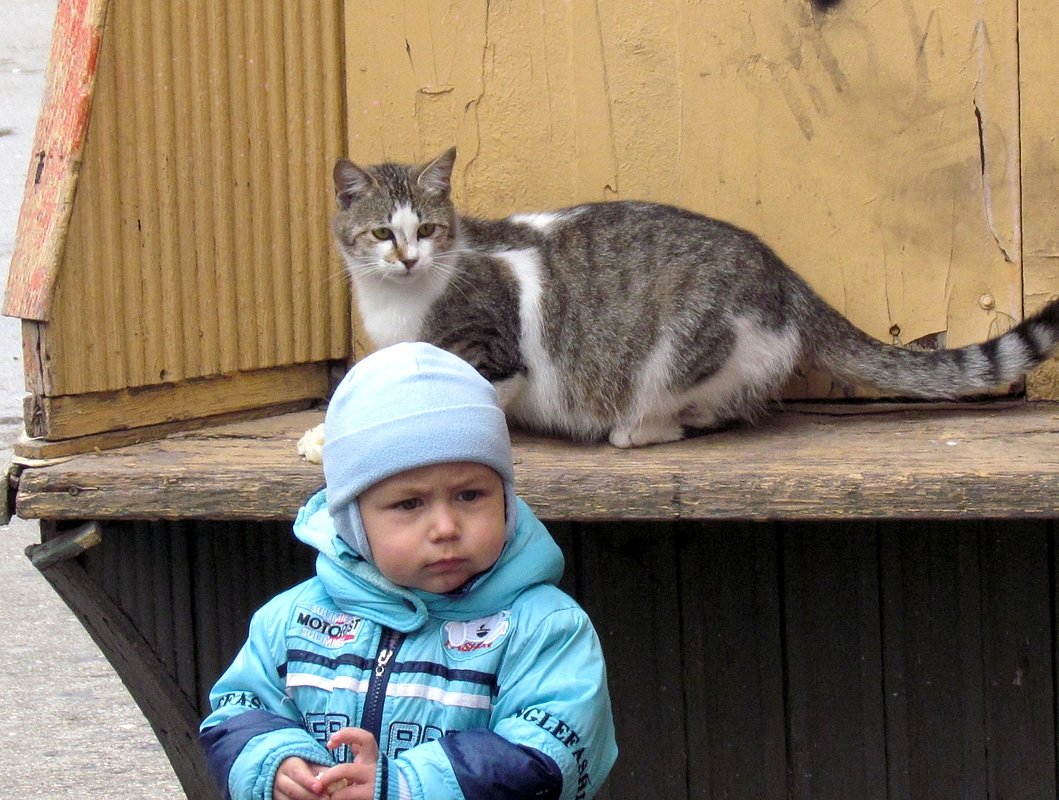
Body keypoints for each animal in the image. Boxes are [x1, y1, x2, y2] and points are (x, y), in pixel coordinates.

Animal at [296, 144, 1059, 457]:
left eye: (426, 229)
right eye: (381, 233)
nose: (407, 257)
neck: (400, 303)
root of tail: (784, 274)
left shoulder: (495, 351)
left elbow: (463, 393)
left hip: (688, 345)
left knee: (696, 406)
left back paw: (636, 429)